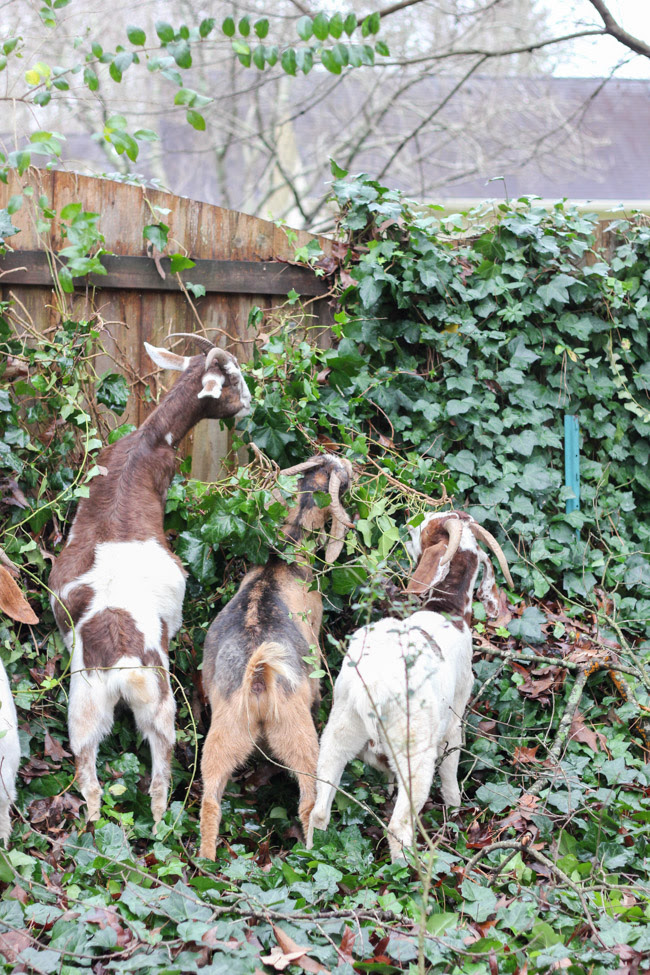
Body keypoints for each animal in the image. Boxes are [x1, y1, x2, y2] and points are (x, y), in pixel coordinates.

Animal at [49, 339, 251, 825]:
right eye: (233, 378)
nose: (250, 401)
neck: (145, 445)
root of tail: (121, 664)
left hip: (84, 707)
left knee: (89, 776)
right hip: (159, 702)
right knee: (160, 772)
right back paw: (162, 827)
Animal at [198, 453, 354, 859]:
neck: (279, 563)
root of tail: (258, 678)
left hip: (225, 735)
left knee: (210, 797)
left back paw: (205, 861)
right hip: (298, 734)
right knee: (308, 799)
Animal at [307, 510, 513, 861]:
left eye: (425, 529)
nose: (409, 523)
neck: (446, 612)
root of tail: (373, 691)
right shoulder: (453, 720)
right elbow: (451, 768)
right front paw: (455, 808)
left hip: (339, 729)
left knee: (319, 810)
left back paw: (309, 854)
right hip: (415, 753)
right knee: (398, 826)